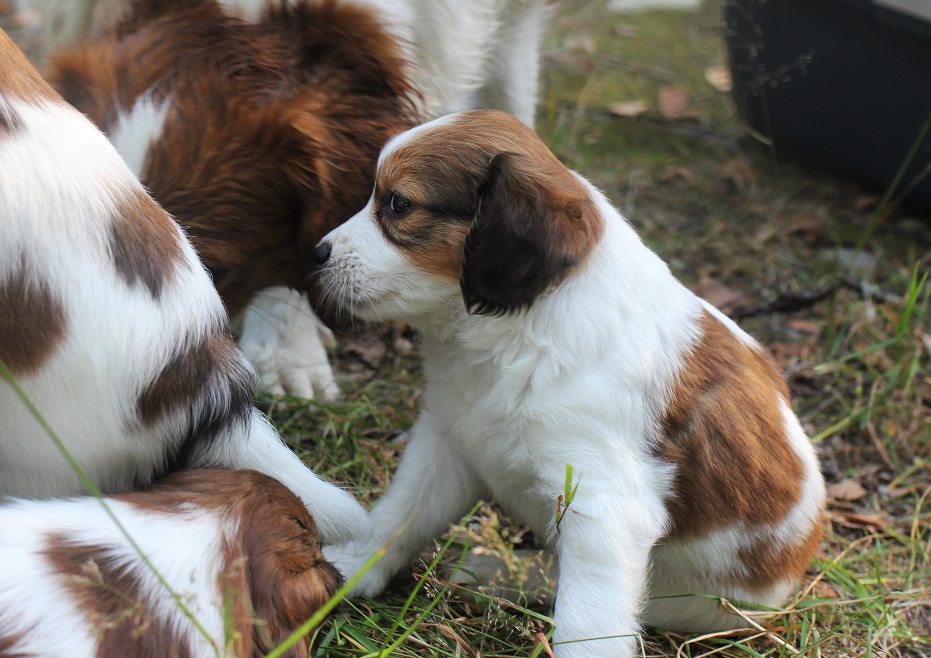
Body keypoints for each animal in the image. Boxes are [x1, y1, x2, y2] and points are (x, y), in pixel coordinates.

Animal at [314, 110, 827, 657]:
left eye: (398, 203)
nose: (317, 252)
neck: (519, 330)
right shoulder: (447, 441)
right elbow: (400, 510)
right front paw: (349, 565)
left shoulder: (602, 505)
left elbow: (586, 621)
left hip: (699, 605)